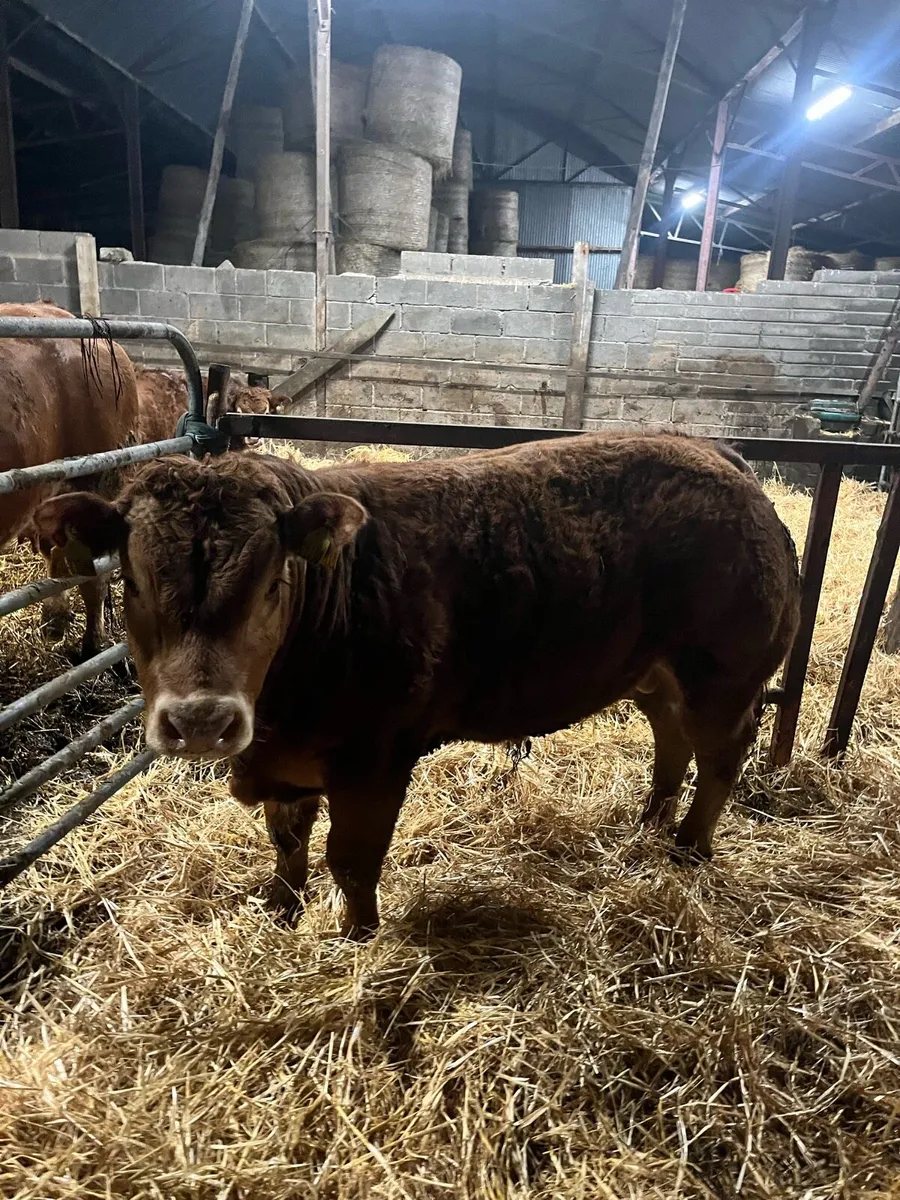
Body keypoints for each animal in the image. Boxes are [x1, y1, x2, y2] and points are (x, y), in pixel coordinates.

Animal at [33, 433, 800, 938]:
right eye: (132, 581)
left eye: (272, 581)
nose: (200, 721)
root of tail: (721, 459)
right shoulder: (286, 762)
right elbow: (287, 842)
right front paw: (280, 911)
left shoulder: (374, 760)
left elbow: (351, 861)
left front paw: (357, 938)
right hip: (655, 674)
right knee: (672, 742)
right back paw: (648, 825)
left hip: (724, 676)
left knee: (720, 756)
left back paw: (687, 848)